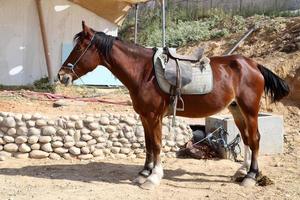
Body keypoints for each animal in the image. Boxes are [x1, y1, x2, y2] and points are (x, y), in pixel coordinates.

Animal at [57, 21, 290, 189]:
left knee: (255, 139)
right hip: (237, 111)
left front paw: (153, 178)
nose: (61, 76)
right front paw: (144, 173)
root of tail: (253, 65)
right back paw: (241, 171)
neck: (144, 72)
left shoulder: (154, 116)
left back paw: (251, 176)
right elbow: (148, 144)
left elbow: (157, 145)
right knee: (247, 139)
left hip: (250, 110)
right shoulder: (144, 116)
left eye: (79, 47)